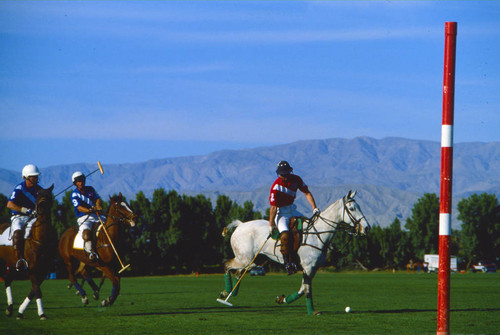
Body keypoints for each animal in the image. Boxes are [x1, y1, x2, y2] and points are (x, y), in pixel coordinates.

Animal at [0, 185, 57, 322]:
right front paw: (41, 314)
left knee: (7, 279)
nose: (40, 209)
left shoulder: (44, 270)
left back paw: (9, 308)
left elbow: (33, 290)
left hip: (13, 264)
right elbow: (37, 290)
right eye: (37, 197)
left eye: (49, 196)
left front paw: (20, 312)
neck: (41, 239)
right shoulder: (31, 269)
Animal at [221, 190, 370, 316]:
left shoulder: (312, 269)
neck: (318, 234)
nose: (367, 228)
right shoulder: (308, 267)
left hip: (252, 259)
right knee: (227, 265)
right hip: (245, 259)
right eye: (352, 208)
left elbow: (302, 290)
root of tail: (240, 225)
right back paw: (225, 293)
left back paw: (230, 293)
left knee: (239, 272)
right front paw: (312, 311)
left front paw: (282, 299)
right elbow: (307, 290)